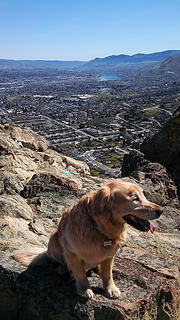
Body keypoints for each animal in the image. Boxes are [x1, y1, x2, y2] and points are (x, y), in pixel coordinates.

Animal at [14, 181, 162, 298]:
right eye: (135, 198)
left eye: (143, 195)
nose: (160, 210)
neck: (101, 229)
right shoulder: (72, 253)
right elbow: (80, 274)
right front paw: (85, 289)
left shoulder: (110, 256)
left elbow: (108, 274)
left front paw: (111, 288)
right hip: (54, 241)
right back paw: (63, 268)